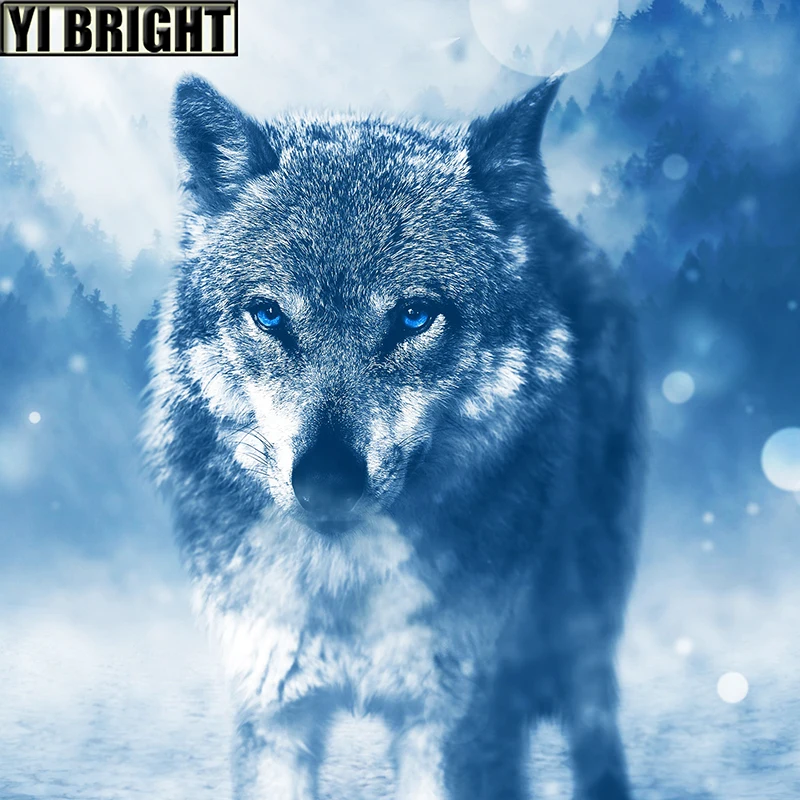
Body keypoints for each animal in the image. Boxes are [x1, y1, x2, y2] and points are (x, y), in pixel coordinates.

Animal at [143, 73, 645, 800]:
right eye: (269, 315)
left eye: (413, 317)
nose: (326, 482)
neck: (345, 586)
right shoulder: (274, 711)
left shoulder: (453, 721)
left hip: (582, 613)